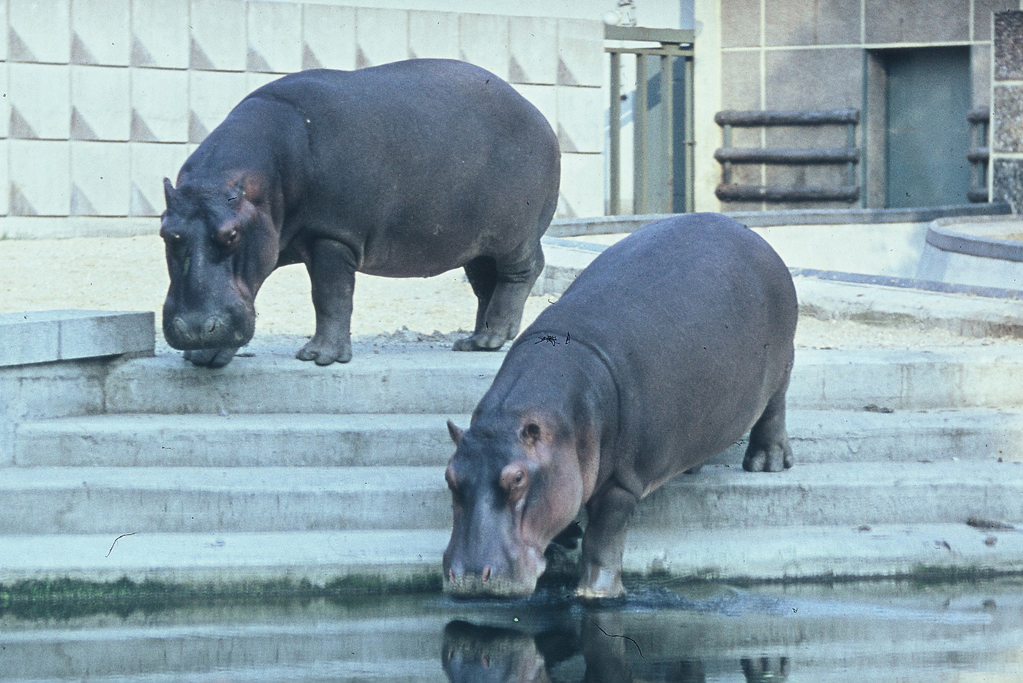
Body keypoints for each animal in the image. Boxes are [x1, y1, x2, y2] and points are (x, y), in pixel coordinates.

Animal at [159, 58, 560, 368]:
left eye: (232, 234)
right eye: (166, 233)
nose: (194, 330)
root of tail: (539, 115)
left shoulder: (332, 235)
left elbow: (330, 295)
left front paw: (319, 357)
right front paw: (202, 356)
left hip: (513, 235)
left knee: (522, 271)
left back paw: (494, 338)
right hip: (475, 242)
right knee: (485, 283)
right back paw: (473, 342)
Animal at [439, 213, 797, 597]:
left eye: (517, 478)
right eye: (450, 475)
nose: (470, 578)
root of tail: (749, 233)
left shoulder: (622, 480)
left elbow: (603, 538)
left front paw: (595, 592)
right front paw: (568, 536)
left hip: (782, 366)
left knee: (774, 410)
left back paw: (766, 463)